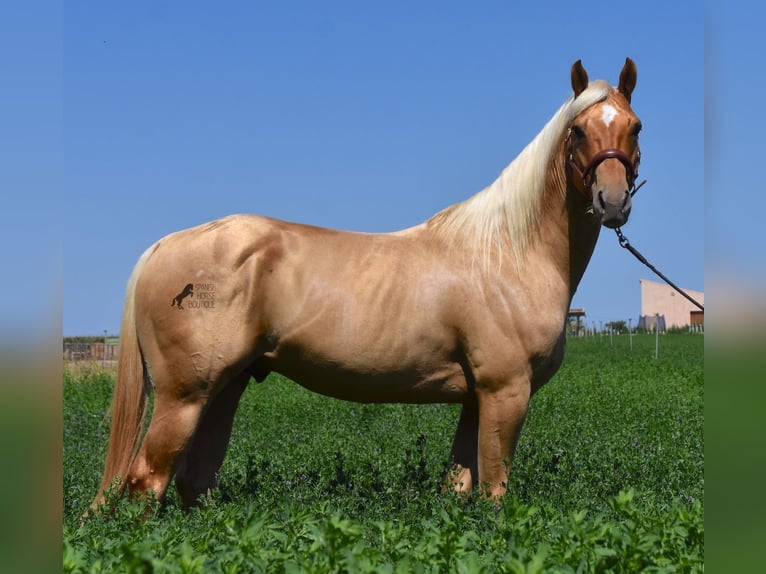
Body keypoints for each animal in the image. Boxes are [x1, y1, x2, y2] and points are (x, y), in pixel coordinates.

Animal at [88, 56, 640, 510]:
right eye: (577, 131)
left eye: (635, 127)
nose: (612, 202)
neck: (507, 252)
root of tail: (163, 247)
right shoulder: (505, 392)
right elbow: (494, 492)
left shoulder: (473, 400)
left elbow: (459, 487)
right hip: (184, 396)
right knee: (146, 483)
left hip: (225, 388)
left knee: (192, 481)